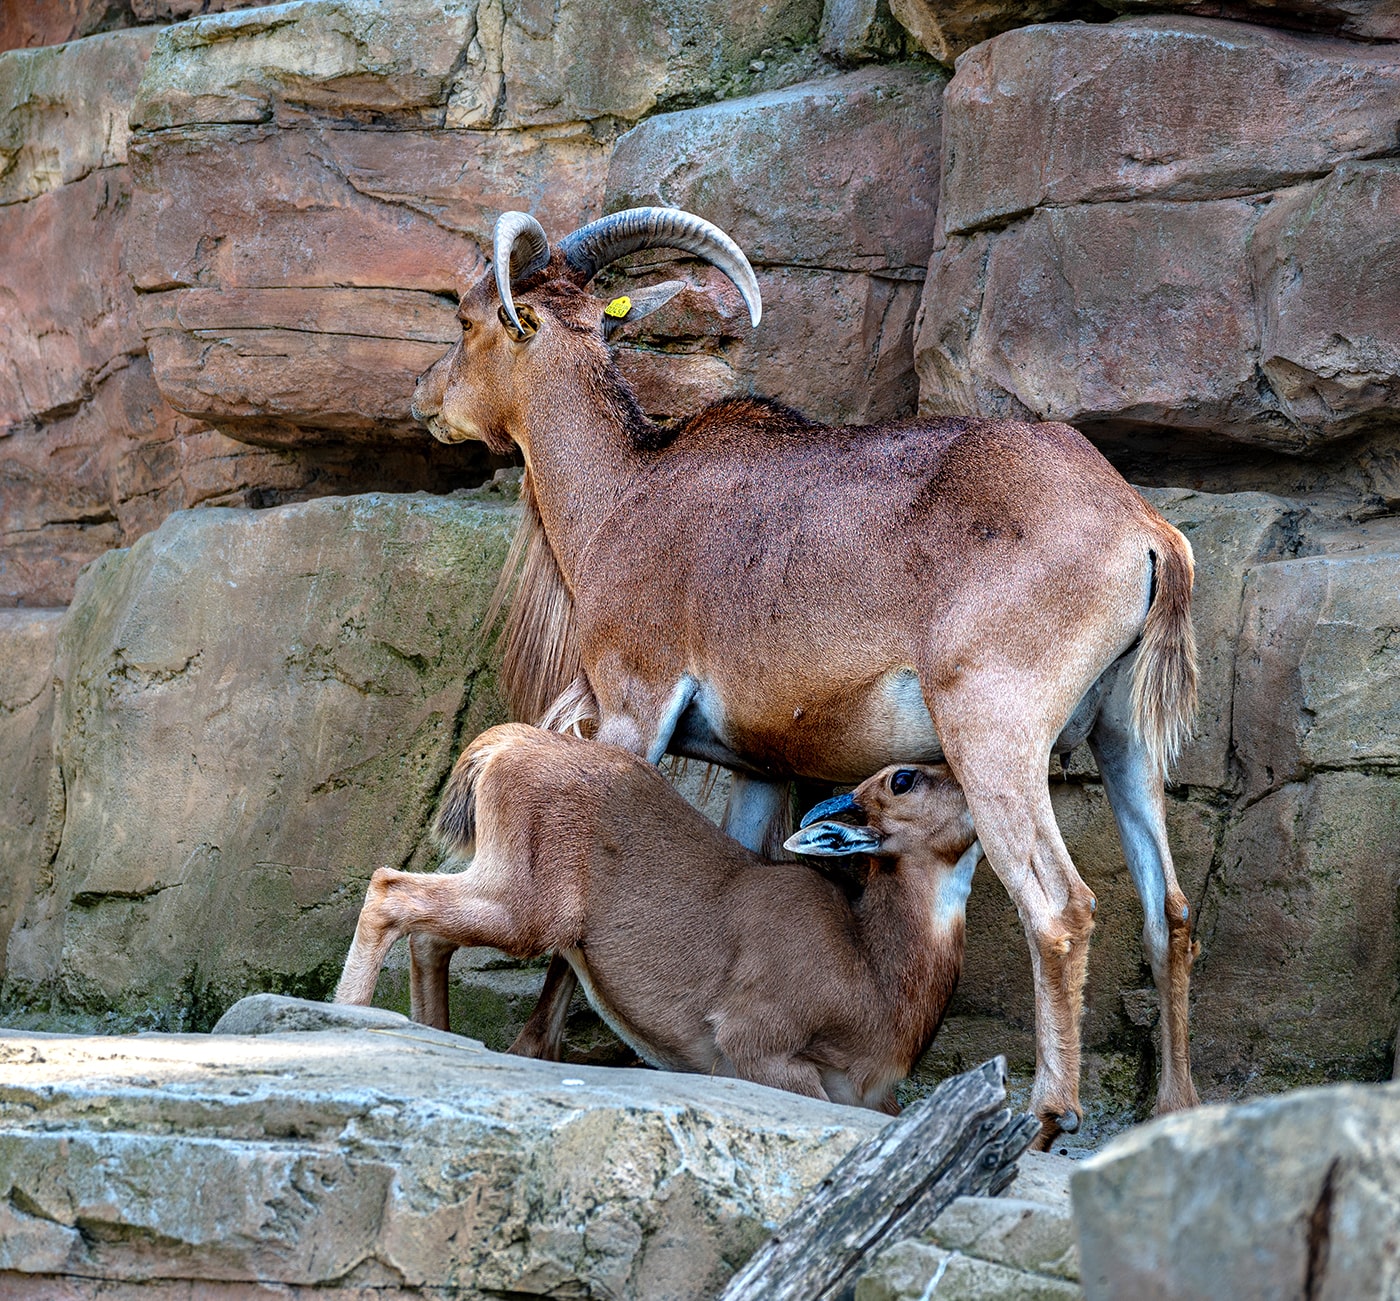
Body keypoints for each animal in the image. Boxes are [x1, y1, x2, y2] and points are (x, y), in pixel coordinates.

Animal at [331, 728, 985, 1109]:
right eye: (904, 777)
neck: (871, 979)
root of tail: (501, 746)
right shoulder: (755, 1044)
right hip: (530, 907)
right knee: (391, 889)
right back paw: (347, 1019)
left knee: (428, 933)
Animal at [408, 205, 1204, 1148]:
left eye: (468, 320)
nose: (424, 398)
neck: (623, 492)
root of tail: (1146, 530)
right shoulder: (763, 766)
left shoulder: (634, 707)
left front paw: (537, 1043)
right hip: (1125, 738)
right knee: (1170, 913)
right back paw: (1174, 1109)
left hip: (993, 732)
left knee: (1059, 907)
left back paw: (1047, 1116)